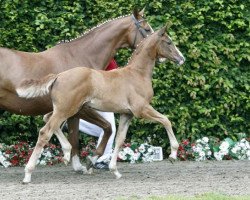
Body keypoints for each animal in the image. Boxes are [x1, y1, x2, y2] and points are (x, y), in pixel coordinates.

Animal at [17, 24, 185, 181]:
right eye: (169, 42)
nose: (182, 59)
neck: (137, 74)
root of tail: (58, 76)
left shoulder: (127, 114)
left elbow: (120, 140)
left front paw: (115, 171)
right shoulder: (141, 109)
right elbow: (166, 120)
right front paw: (173, 154)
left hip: (65, 109)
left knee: (47, 120)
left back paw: (66, 152)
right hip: (66, 110)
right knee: (45, 132)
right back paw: (28, 174)